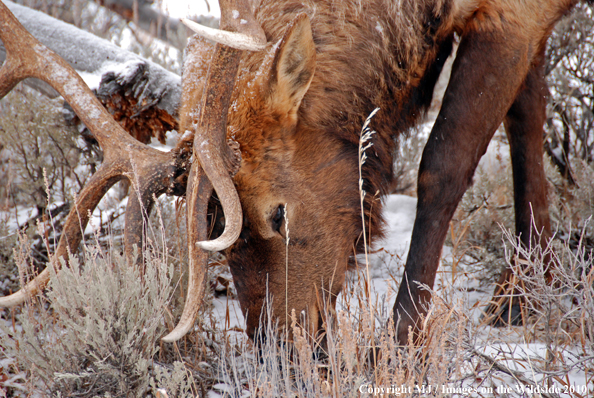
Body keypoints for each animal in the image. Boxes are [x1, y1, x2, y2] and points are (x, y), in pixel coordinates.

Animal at [0, 0, 584, 346]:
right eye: (214, 228)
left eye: (277, 213)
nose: (275, 348)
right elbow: (529, 117)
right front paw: (525, 292)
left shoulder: (512, 15)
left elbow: (443, 165)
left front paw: (402, 338)